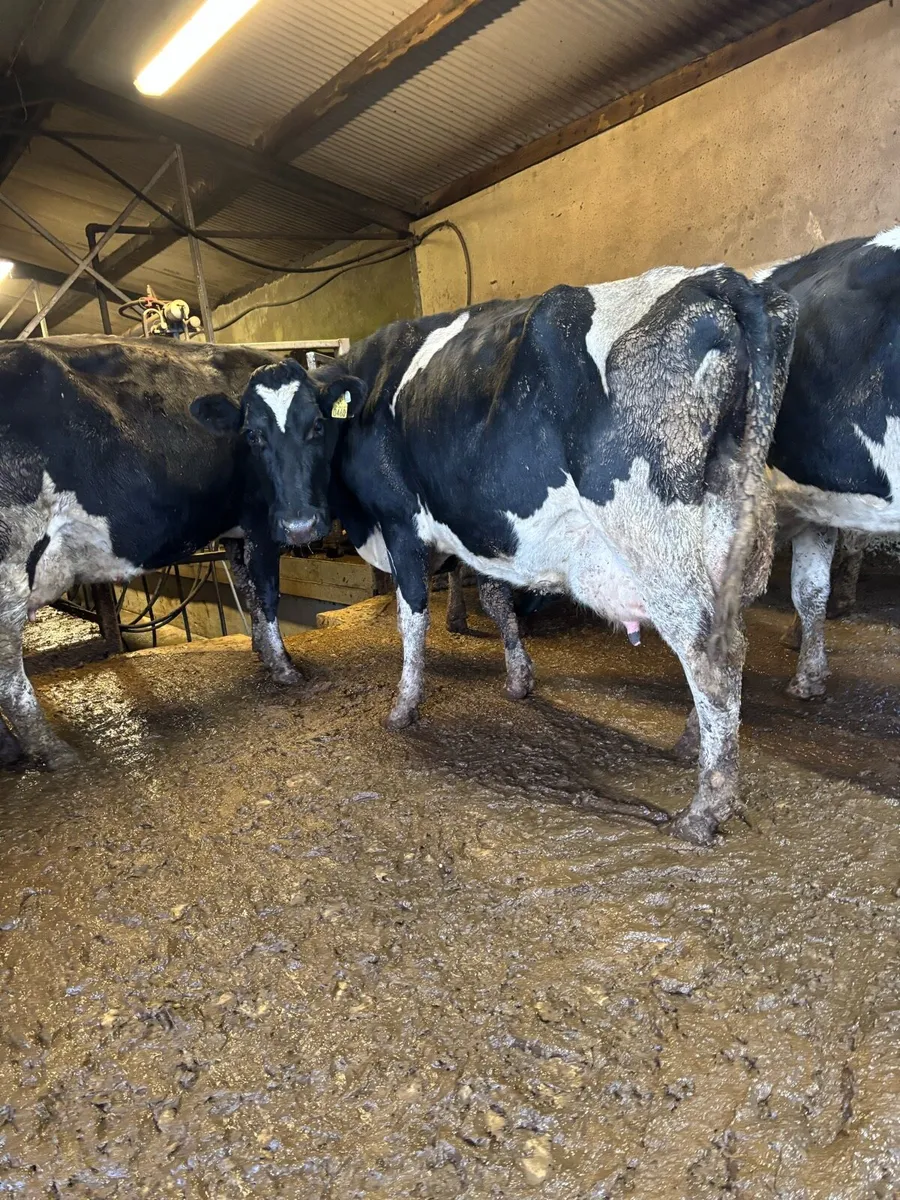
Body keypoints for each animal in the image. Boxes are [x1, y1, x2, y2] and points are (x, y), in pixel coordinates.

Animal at [0, 336, 363, 768]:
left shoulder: (237, 531)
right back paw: (52, 750)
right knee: (7, 669)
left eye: (318, 425)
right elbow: (267, 593)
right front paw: (284, 669)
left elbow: (248, 591)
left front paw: (261, 650)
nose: (301, 525)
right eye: (253, 435)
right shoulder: (260, 521)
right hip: (10, 564)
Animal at [196, 267, 796, 844]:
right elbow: (494, 596)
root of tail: (719, 280)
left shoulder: (400, 522)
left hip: (656, 542)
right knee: (725, 640)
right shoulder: (477, 530)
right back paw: (693, 743)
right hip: (729, 537)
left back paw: (705, 810)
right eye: (253, 436)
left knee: (710, 658)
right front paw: (519, 680)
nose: (299, 524)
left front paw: (404, 707)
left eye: (317, 427)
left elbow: (412, 616)